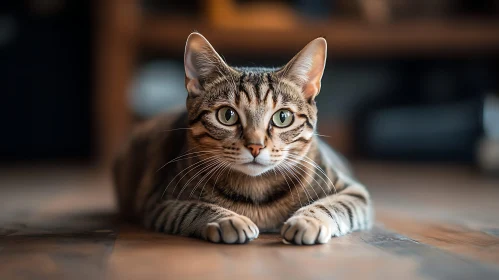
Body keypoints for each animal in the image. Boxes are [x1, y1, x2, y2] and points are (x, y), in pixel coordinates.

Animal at [112, 31, 372, 244]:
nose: (256, 146)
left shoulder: (354, 192)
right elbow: (193, 209)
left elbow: (333, 205)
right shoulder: (160, 203)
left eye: (283, 117)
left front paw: (307, 220)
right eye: (227, 115)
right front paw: (229, 219)